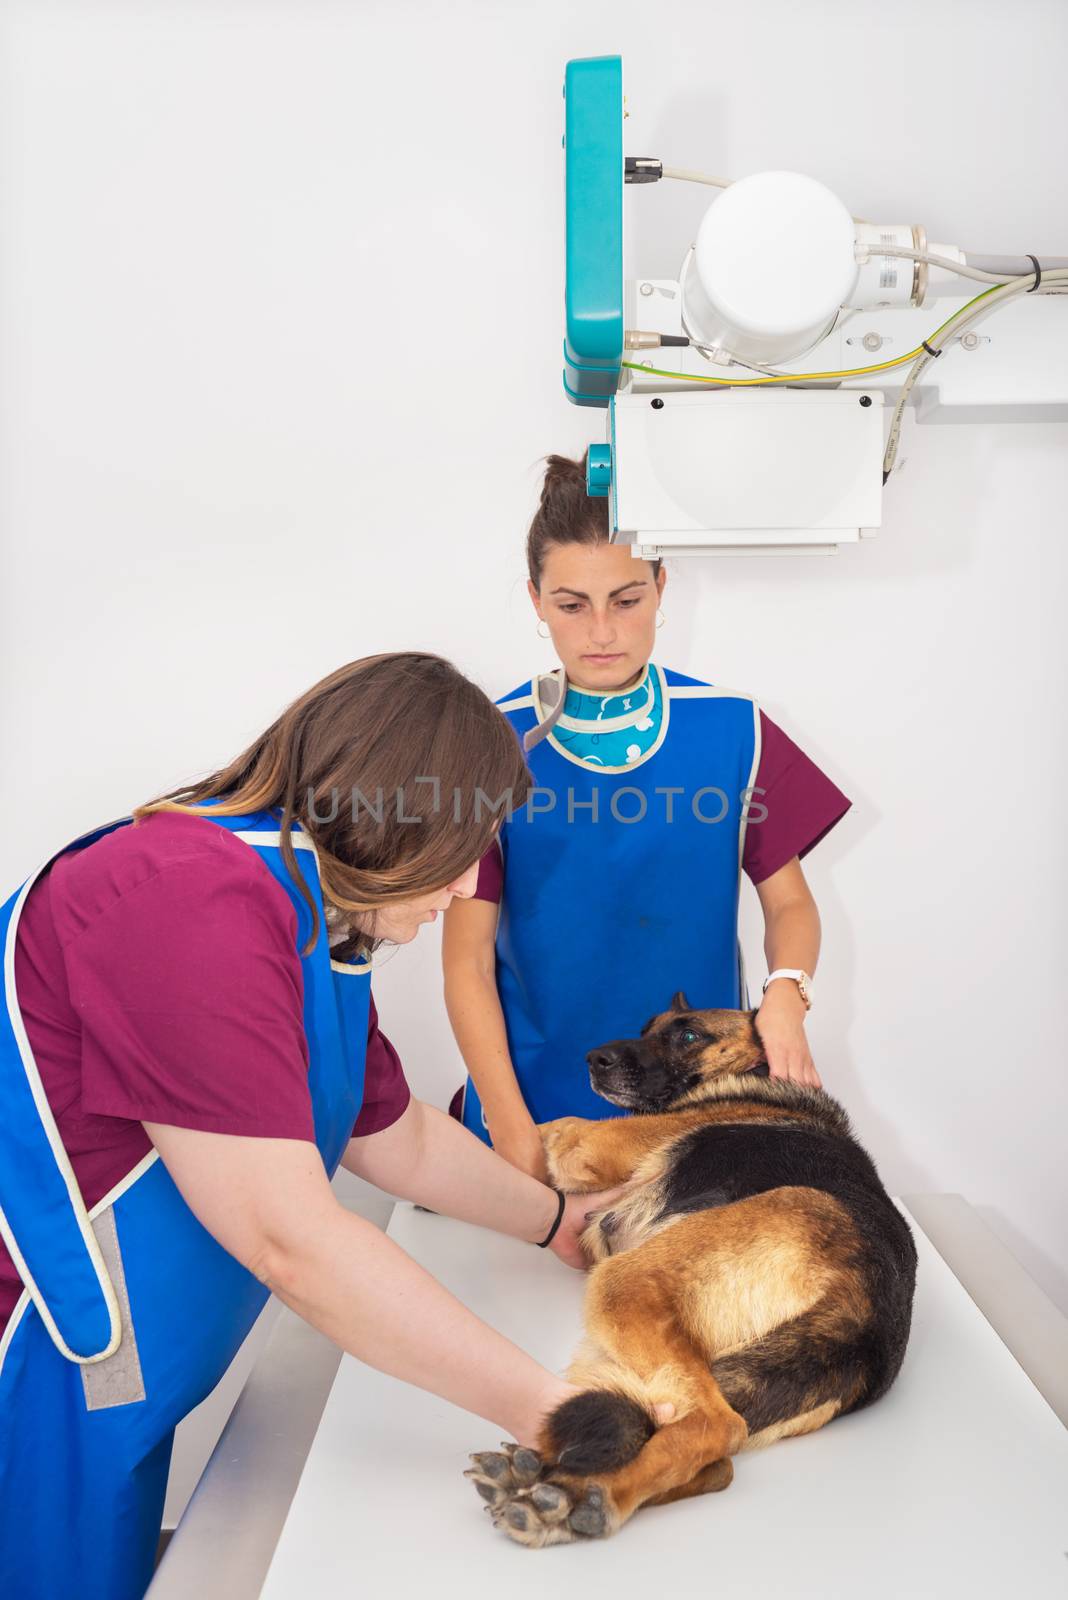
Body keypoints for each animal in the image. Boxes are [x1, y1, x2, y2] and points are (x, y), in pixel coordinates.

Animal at [463, 992, 920, 1542]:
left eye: (688, 1035)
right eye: (646, 1028)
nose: (593, 1058)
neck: (752, 1077)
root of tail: (870, 1315)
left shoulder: (584, 1143)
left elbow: (550, 1126)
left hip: (622, 1286)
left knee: (717, 1428)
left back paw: (576, 1495)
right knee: (713, 1464)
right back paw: (571, 1492)